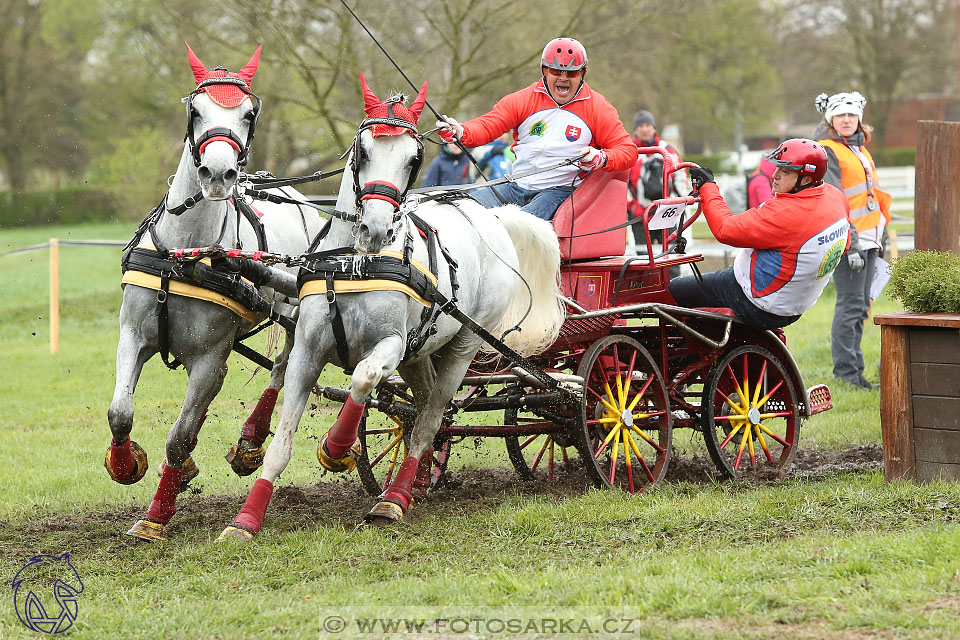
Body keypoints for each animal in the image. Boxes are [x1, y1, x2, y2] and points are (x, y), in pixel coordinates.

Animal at [107, 43, 320, 540]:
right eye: (196, 109)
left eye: (248, 113)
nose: (219, 173)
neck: (185, 251)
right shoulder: (133, 335)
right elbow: (121, 413)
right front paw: (125, 464)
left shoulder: (208, 356)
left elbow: (179, 436)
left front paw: (156, 516)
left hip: (298, 316)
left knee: (282, 370)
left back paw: (250, 442)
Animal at [219, 75, 564, 540]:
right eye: (363, 151)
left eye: (414, 158)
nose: (376, 229)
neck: (356, 263)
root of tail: (490, 216)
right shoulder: (308, 349)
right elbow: (282, 439)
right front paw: (246, 520)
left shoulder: (391, 345)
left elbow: (363, 378)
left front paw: (335, 447)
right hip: (421, 352)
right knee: (425, 412)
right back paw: (416, 482)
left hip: (464, 344)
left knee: (431, 417)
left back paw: (394, 498)